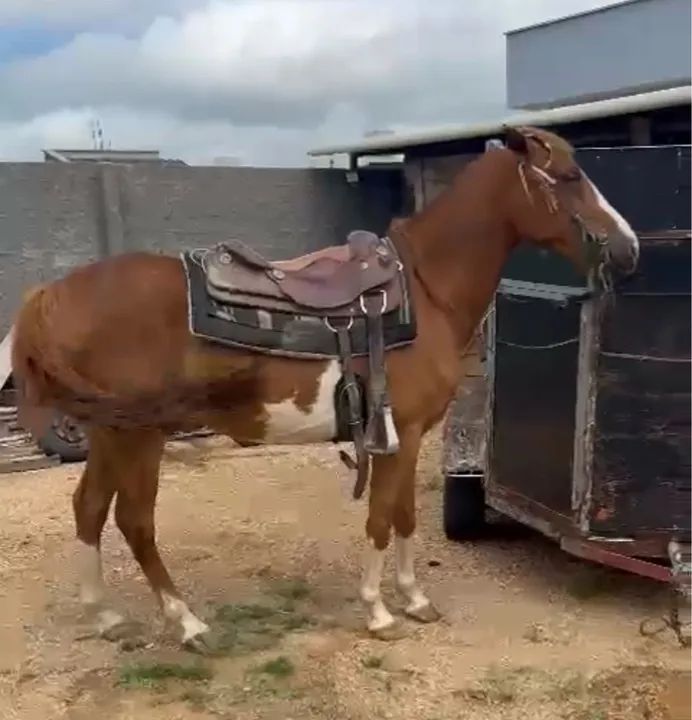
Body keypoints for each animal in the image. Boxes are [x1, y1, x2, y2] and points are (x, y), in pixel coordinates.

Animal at [11, 126, 639, 651]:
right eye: (570, 176)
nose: (629, 247)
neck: (426, 290)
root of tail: (53, 293)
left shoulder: (406, 436)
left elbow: (405, 516)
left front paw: (414, 599)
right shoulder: (401, 434)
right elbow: (381, 520)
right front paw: (379, 612)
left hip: (110, 434)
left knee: (89, 508)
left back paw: (105, 616)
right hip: (138, 435)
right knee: (134, 522)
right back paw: (187, 623)